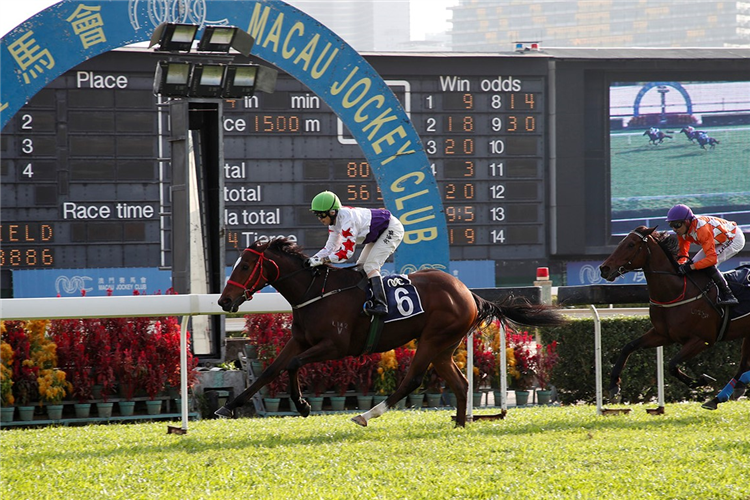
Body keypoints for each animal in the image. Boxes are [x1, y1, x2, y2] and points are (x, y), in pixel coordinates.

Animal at [214, 237, 568, 426]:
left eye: (245, 266)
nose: (224, 300)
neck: (315, 291)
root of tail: (468, 292)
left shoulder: (335, 346)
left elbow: (292, 365)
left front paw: (302, 405)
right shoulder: (300, 340)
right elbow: (271, 370)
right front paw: (227, 406)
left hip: (432, 339)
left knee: (412, 379)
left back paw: (368, 414)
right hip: (444, 346)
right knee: (461, 383)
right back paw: (459, 421)